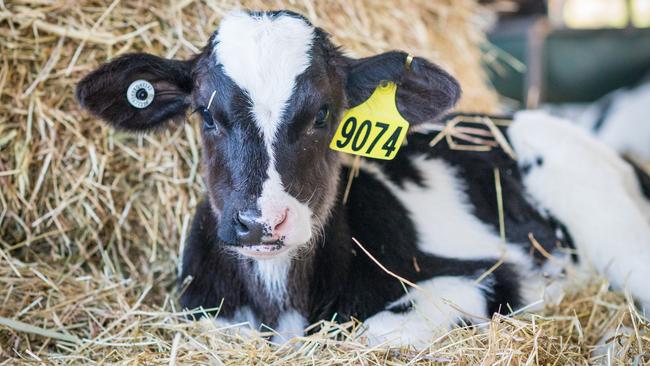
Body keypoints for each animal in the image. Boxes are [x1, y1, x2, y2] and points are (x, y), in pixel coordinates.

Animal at [77, 9, 648, 346]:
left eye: (323, 114)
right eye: (206, 114)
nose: (261, 223)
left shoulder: (489, 275)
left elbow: (370, 333)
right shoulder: (202, 315)